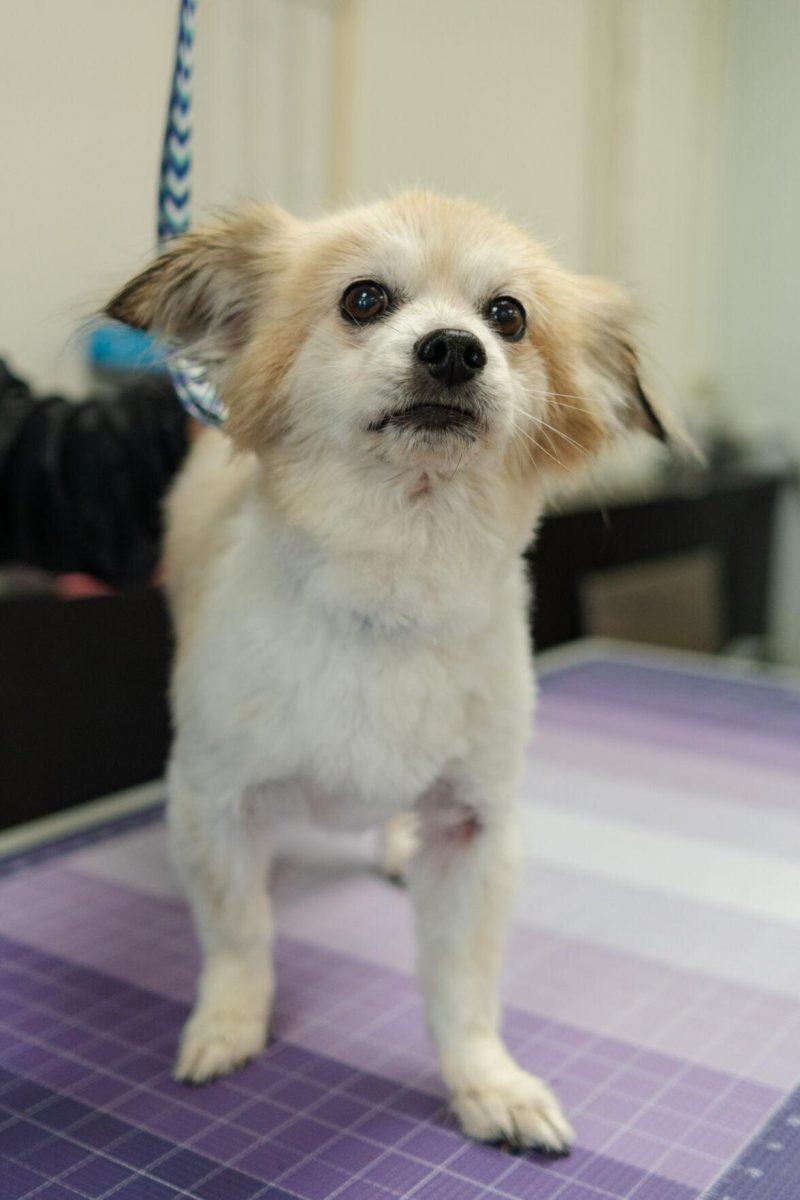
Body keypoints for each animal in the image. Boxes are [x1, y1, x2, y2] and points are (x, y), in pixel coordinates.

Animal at [106, 194, 671, 1152]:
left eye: (508, 317)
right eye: (363, 300)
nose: (453, 347)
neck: (395, 587)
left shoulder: (477, 831)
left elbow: (463, 986)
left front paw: (487, 1083)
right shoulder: (213, 801)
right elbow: (239, 935)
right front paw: (228, 1025)